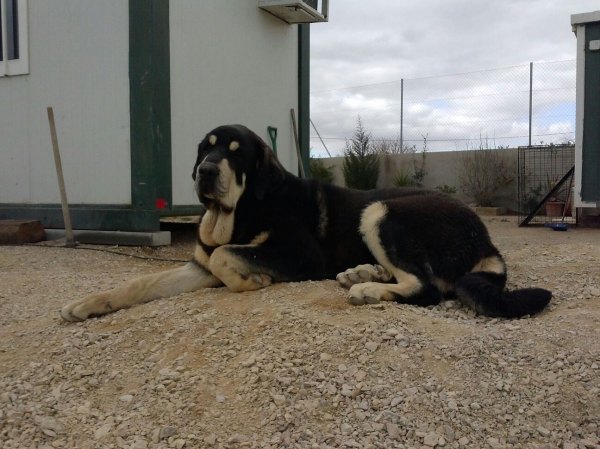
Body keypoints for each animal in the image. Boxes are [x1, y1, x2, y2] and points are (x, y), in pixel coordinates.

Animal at [59, 122, 548, 320]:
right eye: (206, 148)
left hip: (382, 211)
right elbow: (140, 283)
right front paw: (88, 303)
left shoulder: (300, 255)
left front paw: (251, 280)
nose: (205, 172)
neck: (242, 210)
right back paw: (362, 273)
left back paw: (369, 289)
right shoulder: (196, 265)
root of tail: (486, 238)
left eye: (238, 155)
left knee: (427, 288)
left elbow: (227, 258)